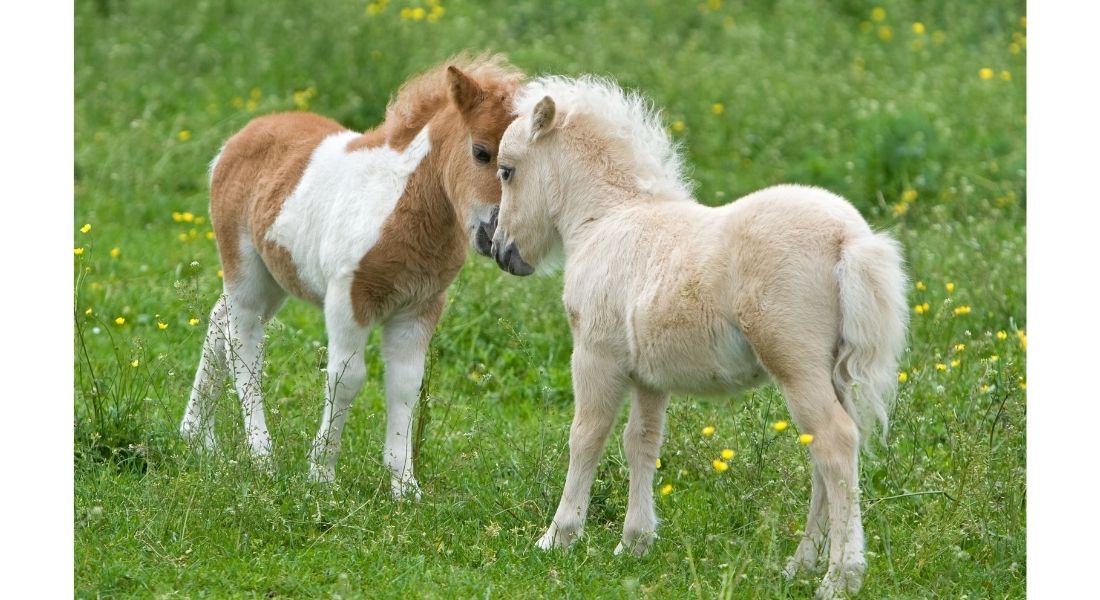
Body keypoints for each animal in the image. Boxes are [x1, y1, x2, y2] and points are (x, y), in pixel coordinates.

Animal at [180, 56, 523, 495]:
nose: (497, 237)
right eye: (480, 152)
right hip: (245, 269)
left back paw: (197, 437)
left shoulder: (420, 307)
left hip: (275, 278)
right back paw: (261, 456)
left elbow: (406, 384)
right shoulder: (348, 298)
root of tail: (237, 139)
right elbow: (347, 378)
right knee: (244, 343)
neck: (402, 205)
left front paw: (404, 486)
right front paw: (321, 476)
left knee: (218, 320)